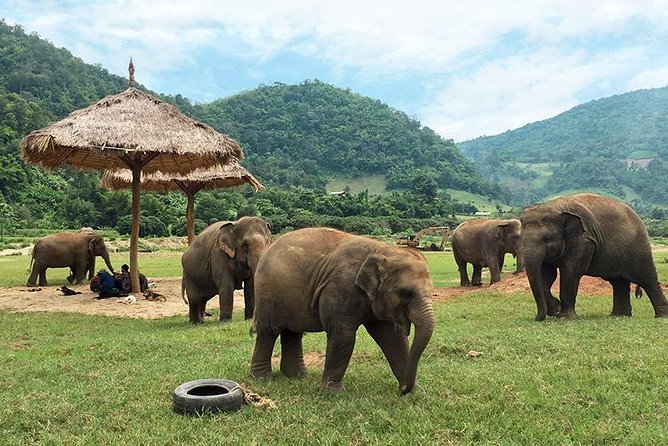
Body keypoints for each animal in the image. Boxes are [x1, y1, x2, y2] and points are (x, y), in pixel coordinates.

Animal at [249, 228, 434, 396]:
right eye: (405, 293)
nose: (402, 390)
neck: (383, 251)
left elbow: (393, 339)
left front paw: (416, 392)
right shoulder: (340, 288)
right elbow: (343, 335)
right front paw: (333, 392)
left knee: (293, 332)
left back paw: (298, 377)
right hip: (267, 292)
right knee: (269, 331)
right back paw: (263, 378)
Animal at [520, 192, 668, 320]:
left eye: (548, 239)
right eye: (521, 239)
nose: (537, 318)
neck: (555, 206)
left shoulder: (583, 241)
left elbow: (570, 272)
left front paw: (564, 317)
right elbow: (546, 275)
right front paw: (556, 309)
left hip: (639, 248)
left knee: (647, 279)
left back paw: (661, 316)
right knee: (618, 282)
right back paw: (619, 316)